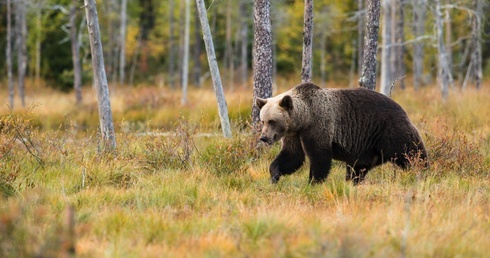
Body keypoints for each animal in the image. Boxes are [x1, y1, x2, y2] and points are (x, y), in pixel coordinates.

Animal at [258, 81, 426, 184]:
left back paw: (423, 171)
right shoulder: (294, 135)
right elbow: (292, 156)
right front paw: (274, 175)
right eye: (262, 120)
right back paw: (353, 182)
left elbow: (320, 157)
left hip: (390, 130)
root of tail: (401, 107)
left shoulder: (318, 126)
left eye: (272, 121)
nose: (263, 137)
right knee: (357, 168)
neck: (303, 119)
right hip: (366, 147)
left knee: (411, 152)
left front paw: (313, 182)